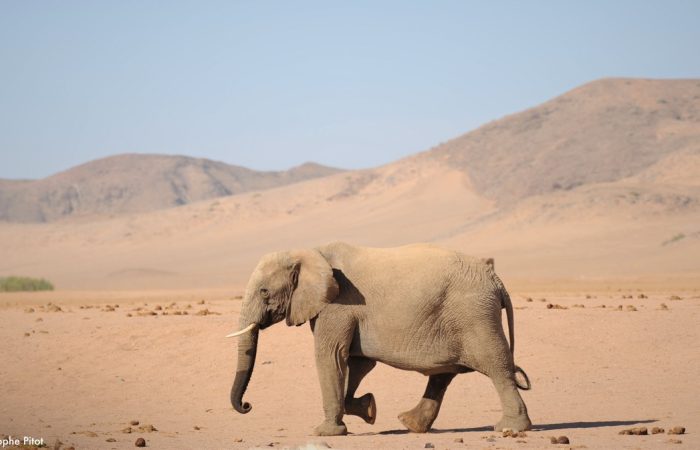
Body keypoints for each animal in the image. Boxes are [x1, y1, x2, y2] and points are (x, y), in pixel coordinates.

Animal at [228, 243, 532, 436]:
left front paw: (325, 432)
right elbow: (357, 363)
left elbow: (330, 355)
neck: (310, 253)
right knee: (443, 375)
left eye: (264, 292)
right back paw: (410, 424)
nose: (247, 406)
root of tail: (497, 281)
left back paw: (511, 428)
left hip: (475, 316)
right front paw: (369, 409)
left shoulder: (338, 305)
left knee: (496, 367)